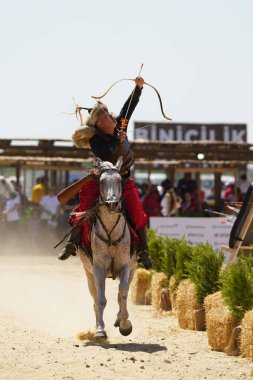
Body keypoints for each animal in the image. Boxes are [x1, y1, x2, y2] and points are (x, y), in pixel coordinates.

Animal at [79, 156, 137, 340]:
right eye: (102, 181)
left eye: (119, 180)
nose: (112, 204)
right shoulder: (98, 269)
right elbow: (101, 299)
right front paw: (99, 330)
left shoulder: (126, 267)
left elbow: (123, 293)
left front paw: (125, 325)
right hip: (89, 274)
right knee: (95, 298)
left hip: (132, 270)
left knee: (121, 293)